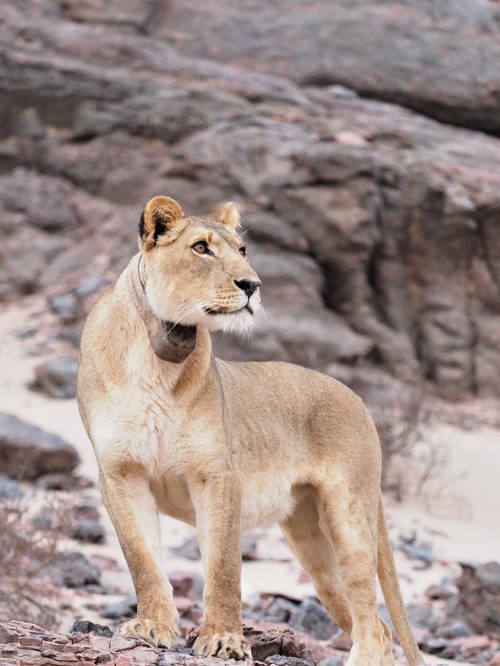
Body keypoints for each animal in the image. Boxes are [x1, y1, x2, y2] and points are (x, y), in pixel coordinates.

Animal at [77, 196, 425, 666]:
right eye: (201, 248)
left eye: (242, 250)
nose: (252, 285)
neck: (158, 357)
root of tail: (357, 399)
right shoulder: (120, 473)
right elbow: (142, 558)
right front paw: (152, 628)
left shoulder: (217, 474)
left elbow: (223, 565)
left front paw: (224, 639)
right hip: (312, 542)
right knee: (375, 623)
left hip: (350, 515)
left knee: (373, 623)